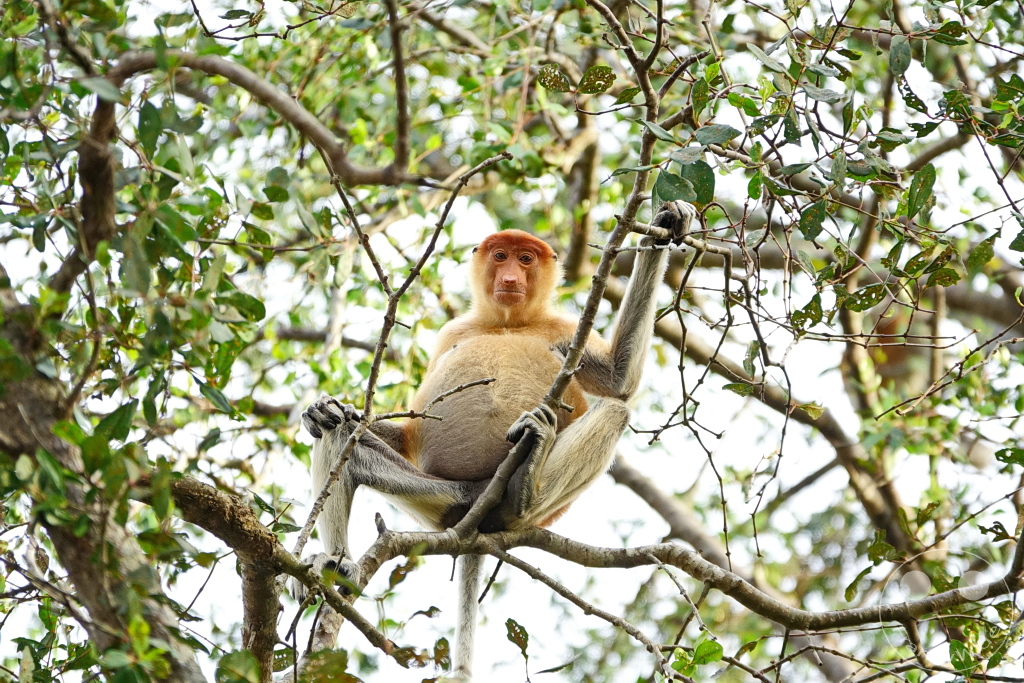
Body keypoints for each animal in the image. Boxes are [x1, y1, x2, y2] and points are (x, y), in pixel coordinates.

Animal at [293, 201, 696, 681]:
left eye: (525, 259)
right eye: (500, 256)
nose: (509, 279)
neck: (508, 323)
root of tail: (478, 521)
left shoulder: (563, 328)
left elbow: (619, 382)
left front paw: (666, 224)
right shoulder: (451, 333)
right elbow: (407, 432)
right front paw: (327, 407)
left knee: (615, 412)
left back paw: (524, 489)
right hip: (444, 499)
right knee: (342, 441)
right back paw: (335, 559)